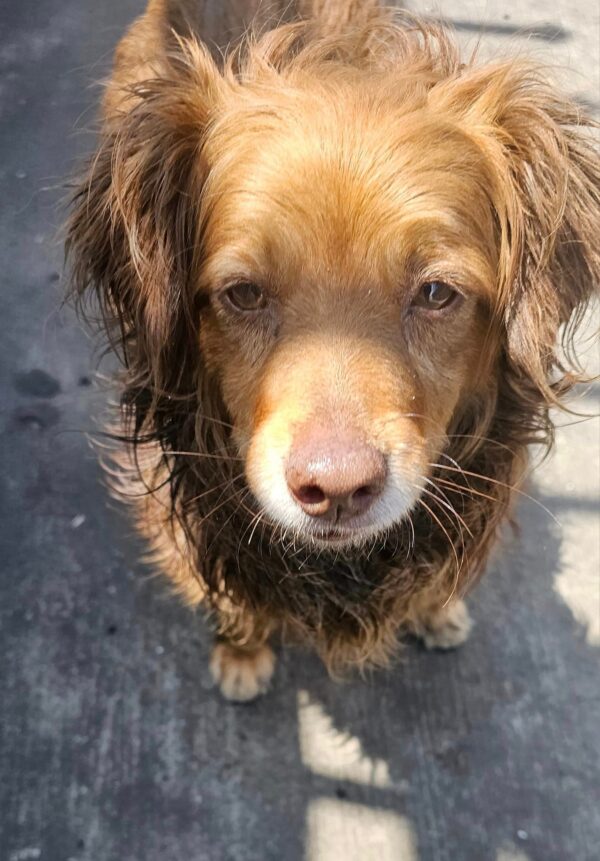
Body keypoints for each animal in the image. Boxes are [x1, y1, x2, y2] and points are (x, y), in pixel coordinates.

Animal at [65, 1, 600, 700]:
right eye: (243, 294)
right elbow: (227, 589)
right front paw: (240, 650)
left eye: (436, 293)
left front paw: (436, 608)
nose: (338, 489)